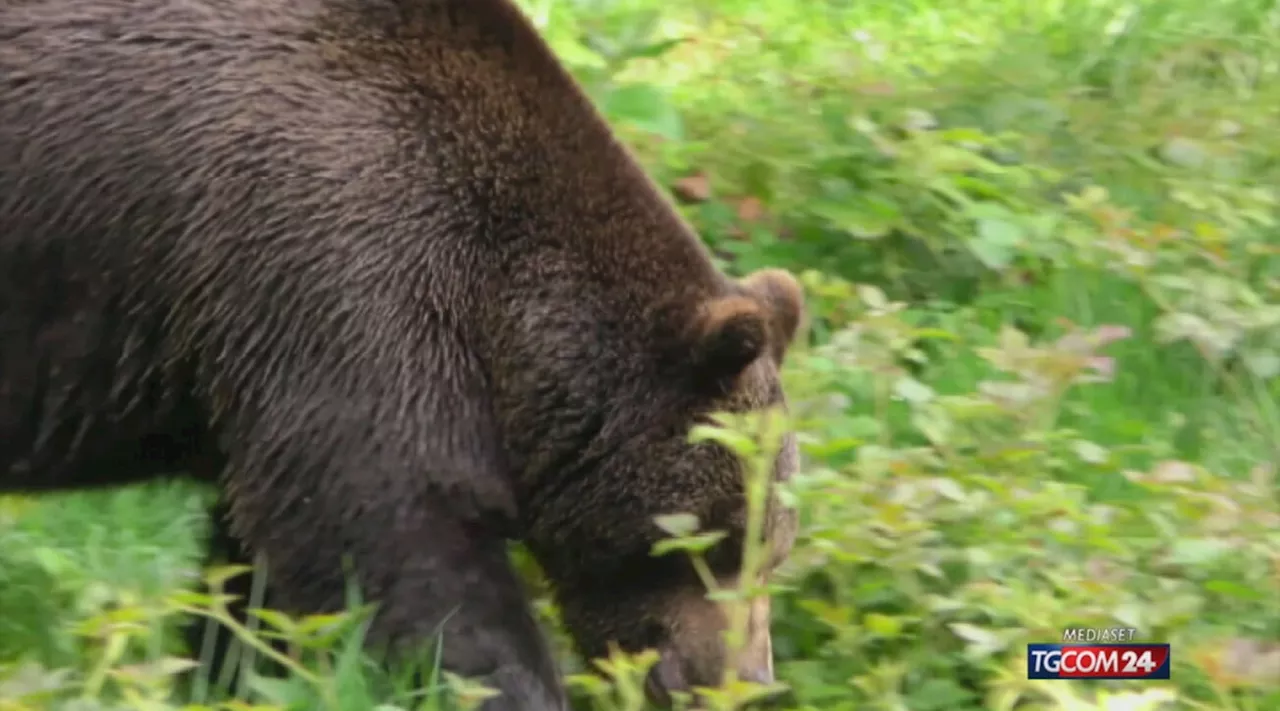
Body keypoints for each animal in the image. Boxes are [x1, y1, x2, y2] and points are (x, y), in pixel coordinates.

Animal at [0, 0, 798, 707]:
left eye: (776, 549)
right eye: (717, 540)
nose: (743, 683)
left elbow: (259, 579)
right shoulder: (338, 274)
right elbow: (406, 543)